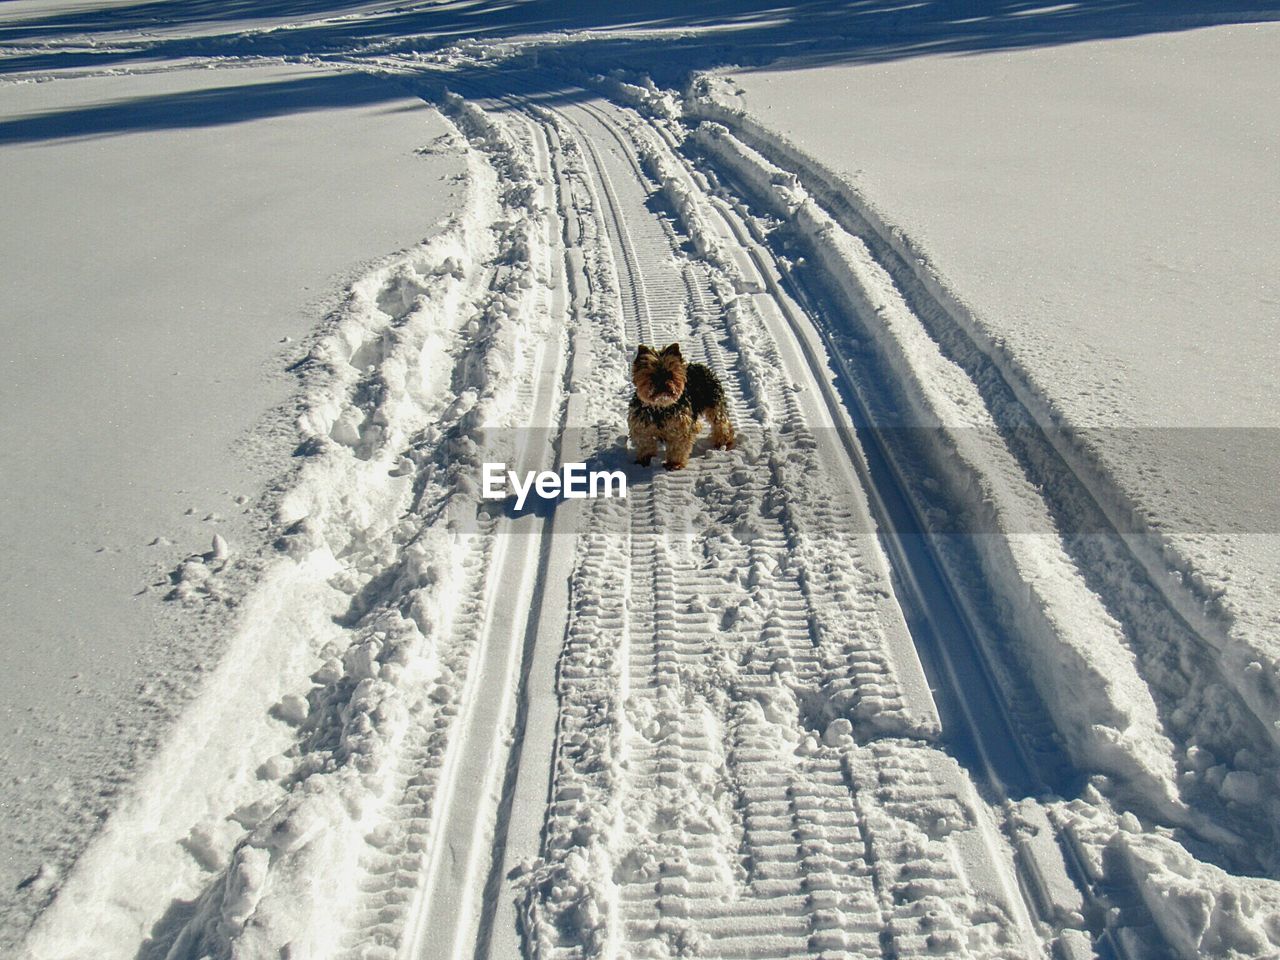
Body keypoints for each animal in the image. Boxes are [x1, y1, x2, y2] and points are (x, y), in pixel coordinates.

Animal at [627, 343, 737, 471]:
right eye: (652, 376)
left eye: (670, 374)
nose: (662, 383)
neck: (660, 408)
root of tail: (700, 366)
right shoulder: (641, 425)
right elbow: (645, 443)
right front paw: (645, 460)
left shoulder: (679, 426)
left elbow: (678, 446)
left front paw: (674, 464)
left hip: (714, 402)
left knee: (720, 422)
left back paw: (724, 442)